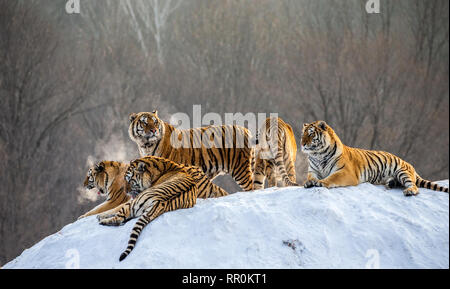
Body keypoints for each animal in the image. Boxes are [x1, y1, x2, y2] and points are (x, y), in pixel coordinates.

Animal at [96, 156, 229, 260]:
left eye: (129, 180)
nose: (125, 191)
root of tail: (159, 203)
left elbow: (113, 209)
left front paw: (99, 215)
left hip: (133, 204)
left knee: (119, 219)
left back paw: (103, 221)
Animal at [300, 119, 448, 196]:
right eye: (303, 135)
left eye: (311, 134)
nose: (302, 143)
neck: (318, 155)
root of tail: (409, 164)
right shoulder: (313, 170)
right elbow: (310, 177)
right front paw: (309, 182)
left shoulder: (345, 172)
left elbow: (332, 178)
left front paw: (321, 182)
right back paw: (390, 184)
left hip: (402, 172)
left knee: (415, 186)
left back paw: (409, 191)